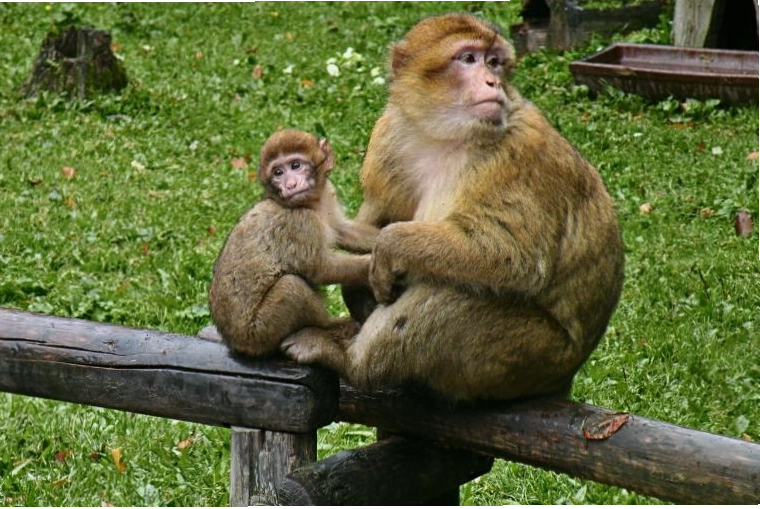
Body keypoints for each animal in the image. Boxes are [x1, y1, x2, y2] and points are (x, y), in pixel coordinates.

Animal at [208, 129, 380, 358]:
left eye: (296, 165)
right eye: (278, 173)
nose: (290, 185)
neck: (311, 204)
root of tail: (234, 343)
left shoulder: (327, 195)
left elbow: (343, 230)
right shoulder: (300, 222)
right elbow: (321, 269)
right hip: (260, 332)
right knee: (291, 285)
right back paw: (330, 325)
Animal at [281, 13, 625, 402]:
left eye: (494, 62)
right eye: (469, 59)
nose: (492, 81)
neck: (445, 136)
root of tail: (562, 380)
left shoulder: (517, 154)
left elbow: (514, 257)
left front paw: (390, 246)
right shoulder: (391, 135)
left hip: (530, 358)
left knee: (450, 290)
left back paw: (352, 362)